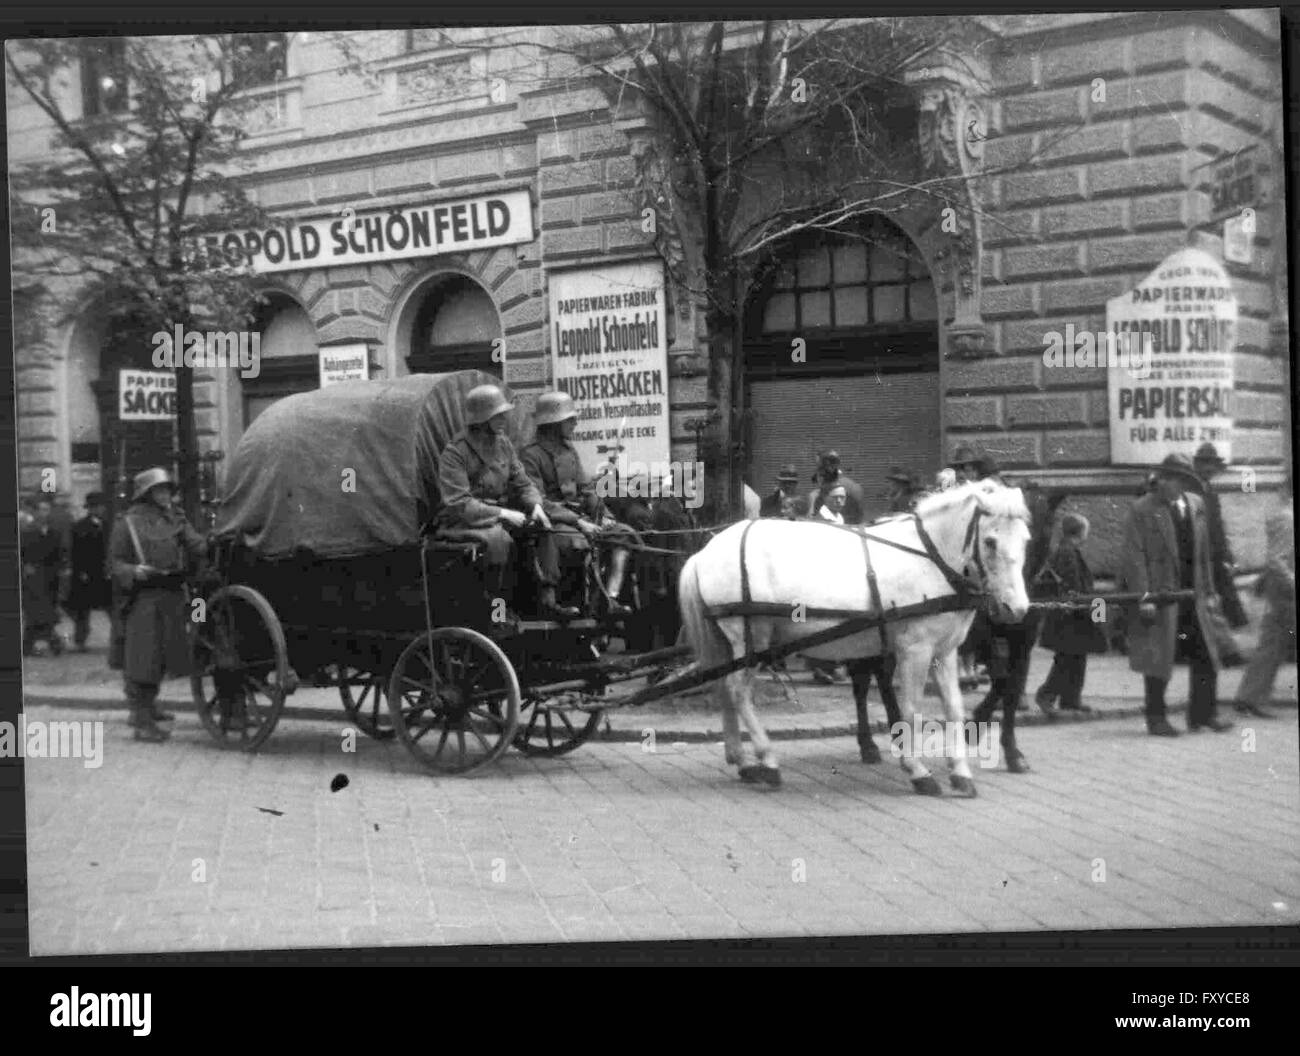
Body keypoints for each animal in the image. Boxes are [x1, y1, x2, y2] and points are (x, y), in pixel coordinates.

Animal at [676, 478, 1029, 790]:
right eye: (990, 541)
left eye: (1026, 539)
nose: (1018, 608)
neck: (931, 559)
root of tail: (705, 552)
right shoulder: (915, 650)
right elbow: (911, 709)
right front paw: (918, 770)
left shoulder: (944, 651)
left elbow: (953, 708)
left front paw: (960, 772)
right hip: (752, 637)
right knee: (738, 691)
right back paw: (767, 760)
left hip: (731, 642)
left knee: (725, 687)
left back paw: (742, 760)